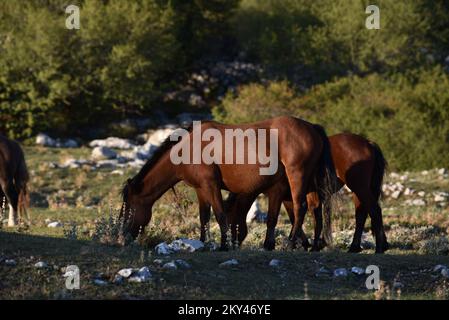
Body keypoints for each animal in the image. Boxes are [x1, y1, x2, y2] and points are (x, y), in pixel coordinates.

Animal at [121, 116, 334, 249]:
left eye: (128, 207)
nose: (123, 235)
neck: (187, 148)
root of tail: (312, 127)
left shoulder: (211, 186)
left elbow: (220, 214)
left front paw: (223, 245)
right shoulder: (201, 189)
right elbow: (204, 217)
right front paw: (203, 243)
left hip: (297, 176)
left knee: (301, 207)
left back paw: (290, 243)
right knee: (314, 208)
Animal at [226, 132, 386, 252]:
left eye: (229, 216)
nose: (230, 243)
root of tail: (368, 143)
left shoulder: (278, 194)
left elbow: (277, 217)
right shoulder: (288, 198)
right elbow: (295, 217)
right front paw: (306, 243)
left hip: (360, 188)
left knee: (374, 210)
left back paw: (378, 248)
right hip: (359, 190)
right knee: (361, 215)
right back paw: (356, 247)